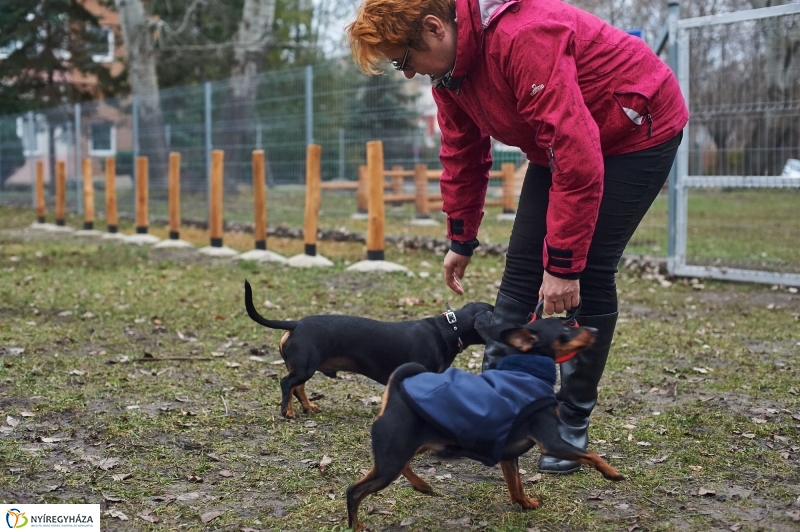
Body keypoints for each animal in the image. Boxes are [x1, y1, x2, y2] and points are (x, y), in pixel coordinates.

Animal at [244, 278, 494, 420]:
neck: (448, 328)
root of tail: (296, 324)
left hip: (304, 368)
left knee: (298, 388)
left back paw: (308, 407)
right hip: (304, 368)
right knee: (287, 384)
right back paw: (287, 412)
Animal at [346, 314, 620, 528]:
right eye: (566, 327)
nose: (596, 330)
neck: (527, 371)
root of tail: (394, 396)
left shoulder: (509, 456)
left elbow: (516, 487)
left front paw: (526, 504)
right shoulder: (552, 443)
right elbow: (591, 454)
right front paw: (612, 473)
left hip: (401, 452)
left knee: (395, 468)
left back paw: (422, 485)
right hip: (392, 460)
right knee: (354, 491)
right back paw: (357, 525)